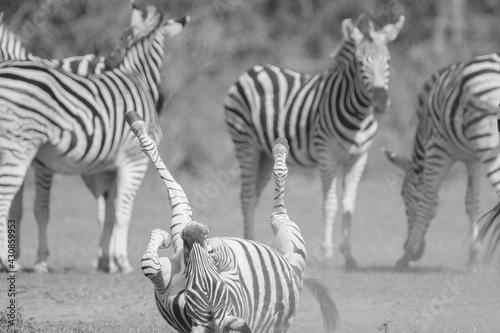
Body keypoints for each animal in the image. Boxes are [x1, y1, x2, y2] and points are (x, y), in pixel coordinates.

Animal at [0, 4, 190, 272]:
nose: (162, 101)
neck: (134, 73)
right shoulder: (135, 160)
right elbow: (122, 212)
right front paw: (120, 261)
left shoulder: (104, 169)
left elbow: (106, 214)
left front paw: (105, 261)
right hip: (20, 147)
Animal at [128, 112, 340, 332]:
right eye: (198, 288)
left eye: (219, 287)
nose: (193, 232)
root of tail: (296, 277)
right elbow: (149, 263)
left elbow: (150, 263)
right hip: (288, 235)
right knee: (277, 211)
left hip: (287, 236)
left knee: (179, 195)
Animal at [225, 14, 404, 268]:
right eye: (360, 62)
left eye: (387, 60)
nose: (381, 101)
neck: (358, 115)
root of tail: (253, 69)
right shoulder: (326, 157)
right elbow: (330, 204)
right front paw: (327, 254)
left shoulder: (359, 158)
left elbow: (349, 207)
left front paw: (349, 256)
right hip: (245, 143)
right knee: (247, 196)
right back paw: (249, 243)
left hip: (265, 154)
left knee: (254, 195)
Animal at [382, 53, 500, 268]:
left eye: (404, 195)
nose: (404, 246)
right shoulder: (473, 158)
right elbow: (471, 202)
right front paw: (473, 259)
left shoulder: (439, 149)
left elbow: (427, 200)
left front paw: (407, 255)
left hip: (488, 145)